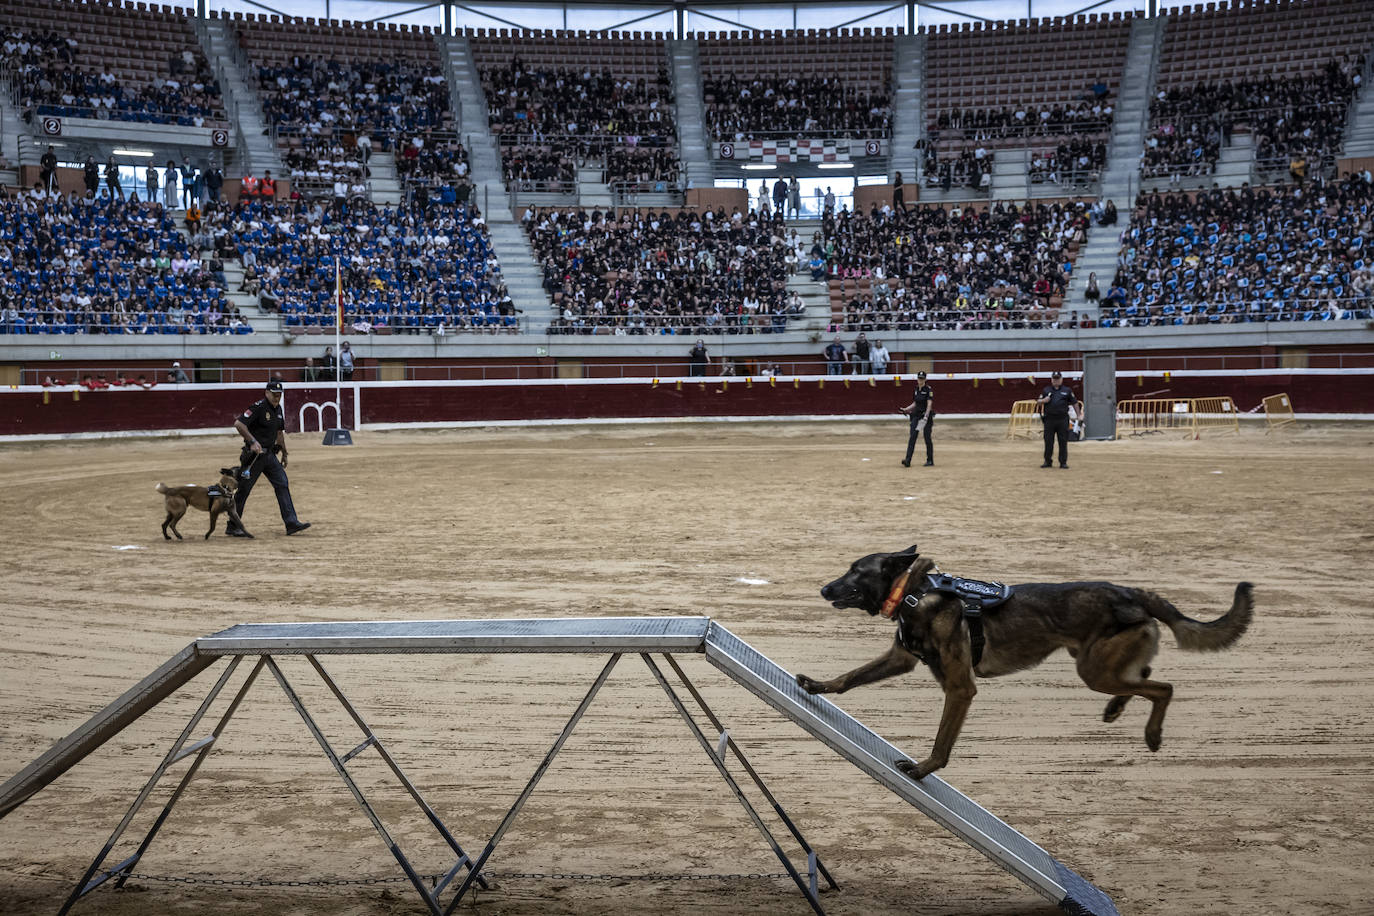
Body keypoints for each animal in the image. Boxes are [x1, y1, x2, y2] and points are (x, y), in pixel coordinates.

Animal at [225, 379, 311, 538]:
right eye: (274, 393)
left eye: (279, 394)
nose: (277, 398)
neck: (272, 406)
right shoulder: (254, 409)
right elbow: (240, 423)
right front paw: (256, 445)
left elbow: (282, 485)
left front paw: (294, 525)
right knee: (242, 492)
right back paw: (233, 529)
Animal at [796, 543, 1258, 780]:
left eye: (855, 571)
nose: (822, 589)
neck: (916, 591)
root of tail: (1134, 592)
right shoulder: (900, 659)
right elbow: (849, 677)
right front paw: (817, 686)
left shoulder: (960, 688)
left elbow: (943, 742)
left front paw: (925, 769)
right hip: (1099, 664)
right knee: (1142, 677)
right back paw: (1116, 708)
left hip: (1094, 670)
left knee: (1163, 687)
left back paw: (1152, 734)